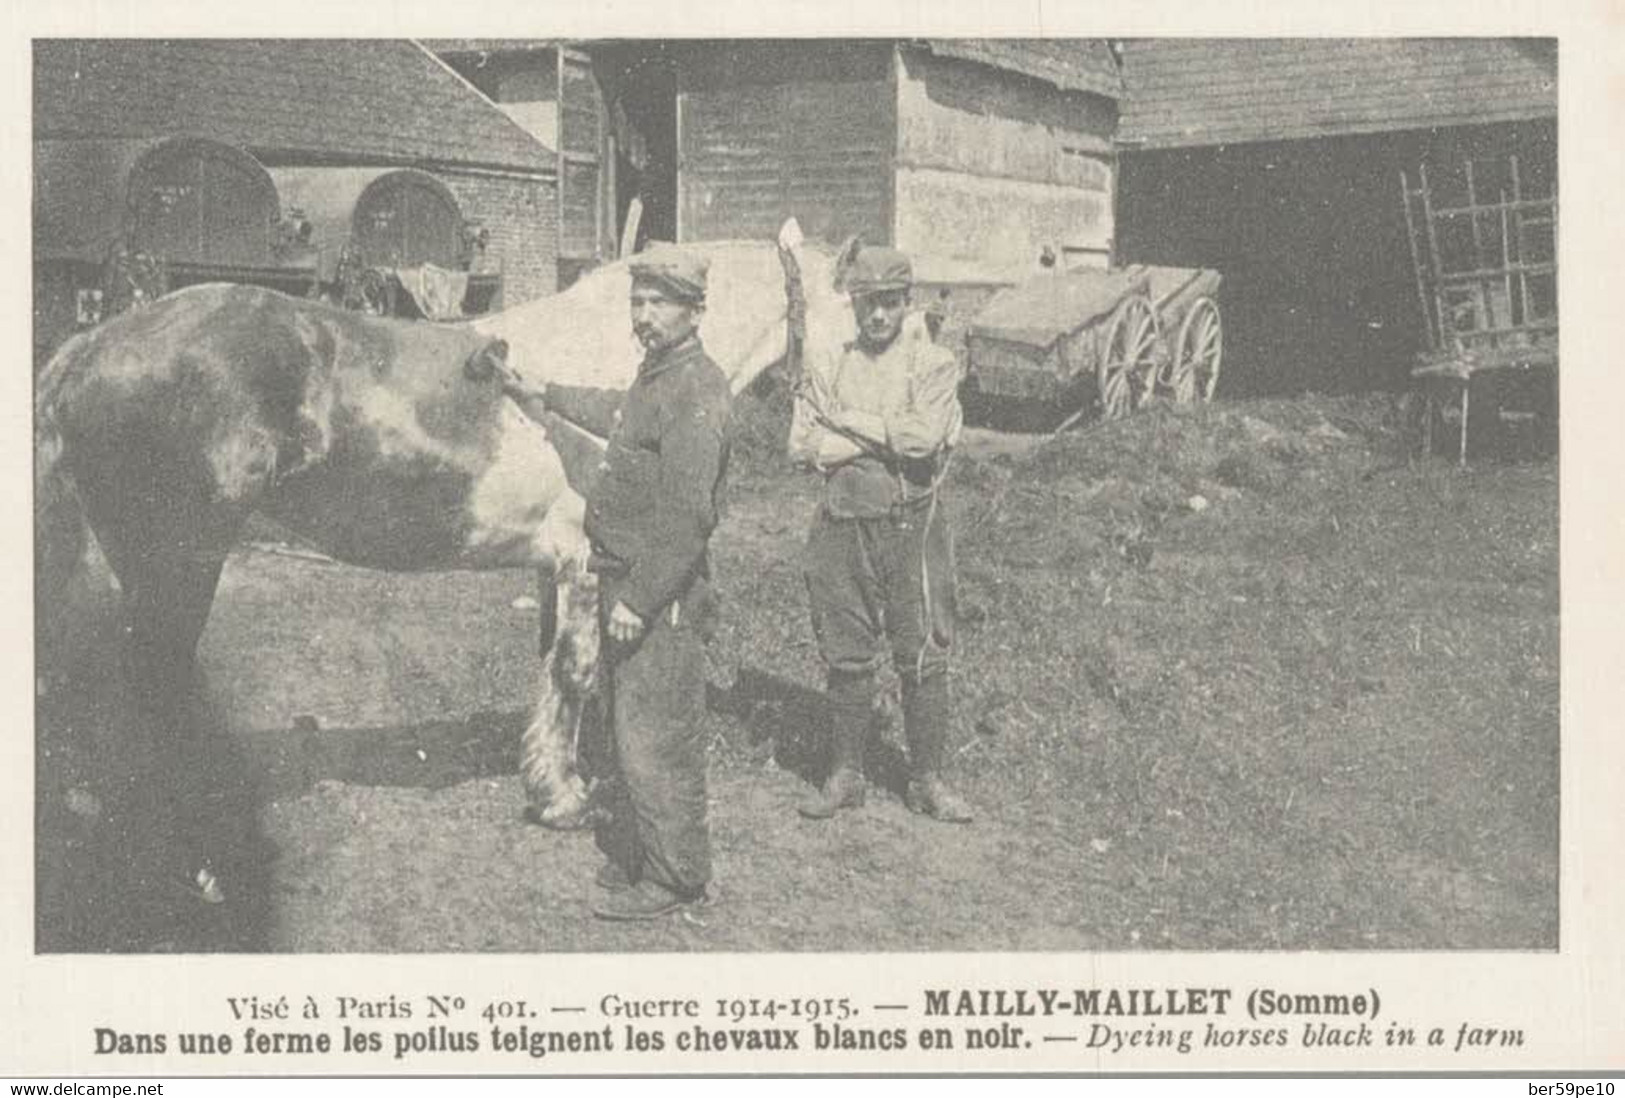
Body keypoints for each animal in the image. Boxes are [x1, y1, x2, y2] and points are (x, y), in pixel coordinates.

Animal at [31, 216, 858, 877]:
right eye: (858, 328)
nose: (836, 446)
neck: (619, 367)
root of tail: (87, 347)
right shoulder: (586, 565)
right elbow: (577, 672)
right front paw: (566, 803)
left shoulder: (556, 569)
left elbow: (554, 674)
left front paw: (554, 782)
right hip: (176, 567)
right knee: (152, 691)